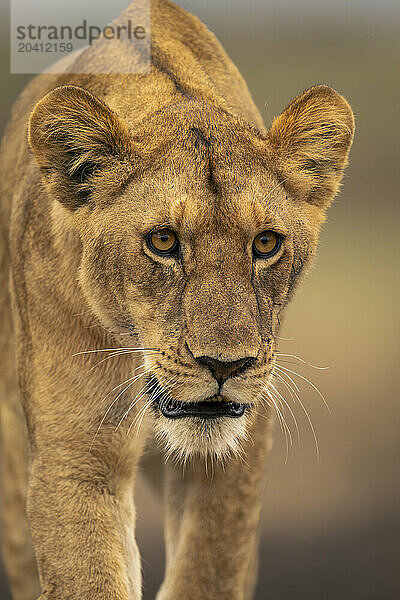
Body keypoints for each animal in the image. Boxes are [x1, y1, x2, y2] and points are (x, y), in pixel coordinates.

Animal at [0, 1, 354, 600]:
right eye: (164, 242)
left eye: (266, 244)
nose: (226, 365)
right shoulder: (77, 453)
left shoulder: (235, 458)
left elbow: (211, 570)